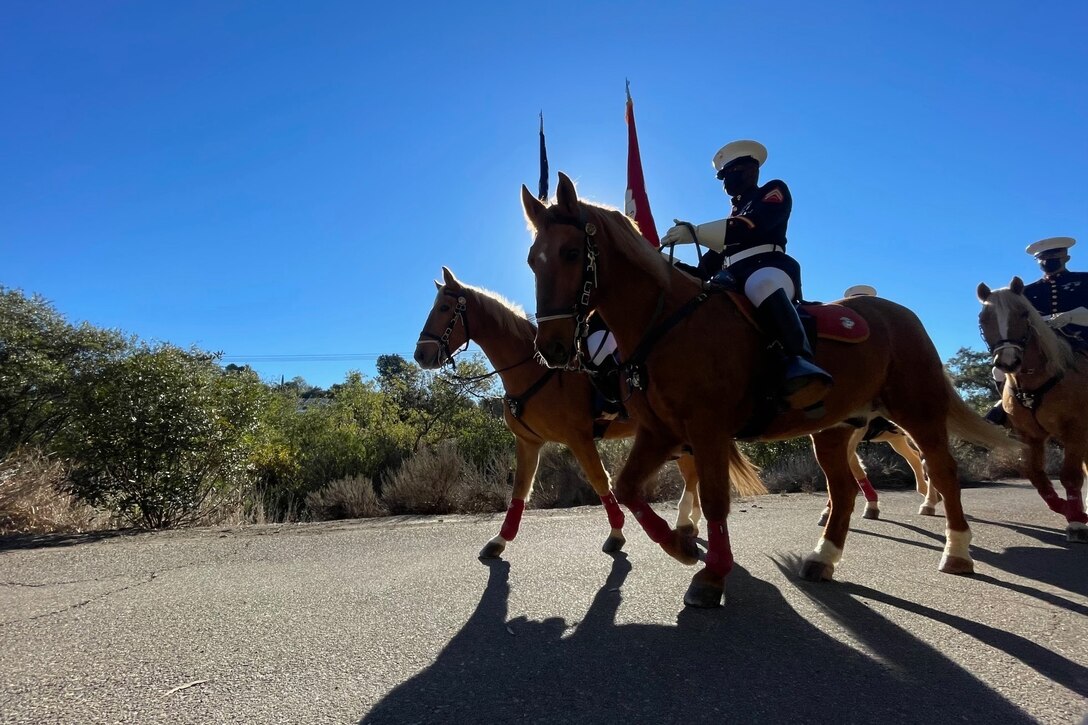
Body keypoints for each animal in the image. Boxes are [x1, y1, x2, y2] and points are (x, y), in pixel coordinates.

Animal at [411, 267, 752, 555]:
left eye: (444, 309)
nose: (420, 355)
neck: (534, 369)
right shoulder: (528, 442)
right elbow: (520, 491)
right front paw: (500, 539)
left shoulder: (579, 439)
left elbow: (601, 481)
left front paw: (616, 533)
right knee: (692, 472)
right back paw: (689, 521)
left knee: (692, 474)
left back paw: (686, 521)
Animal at [522, 174, 1014, 605]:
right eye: (532, 260)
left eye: (571, 252)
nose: (551, 347)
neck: (664, 322)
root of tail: (902, 315)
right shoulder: (660, 432)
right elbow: (626, 489)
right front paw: (681, 548)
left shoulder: (708, 430)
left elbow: (715, 501)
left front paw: (712, 576)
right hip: (833, 431)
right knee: (844, 490)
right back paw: (823, 557)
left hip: (918, 413)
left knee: (942, 469)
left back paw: (957, 551)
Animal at [979, 275, 1088, 535]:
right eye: (983, 319)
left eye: (1023, 313)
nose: (1008, 362)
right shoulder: (1029, 434)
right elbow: (1034, 473)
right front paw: (1066, 509)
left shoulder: (1075, 430)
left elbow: (1070, 475)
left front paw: (1077, 520)